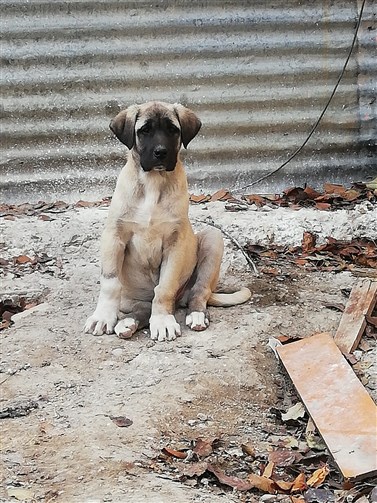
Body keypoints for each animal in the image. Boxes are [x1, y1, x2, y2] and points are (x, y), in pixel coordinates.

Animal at [84, 100, 250, 340]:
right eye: (144, 130)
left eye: (173, 130)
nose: (161, 153)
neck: (153, 183)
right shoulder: (114, 236)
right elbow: (110, 283)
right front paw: (103, 317)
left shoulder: (175, 243)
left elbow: (164, 288)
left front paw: (162, 321)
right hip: (130, 299)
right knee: (142, 307)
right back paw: (128, 323)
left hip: (213, 238)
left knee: (198, 292)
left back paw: (196, 315)